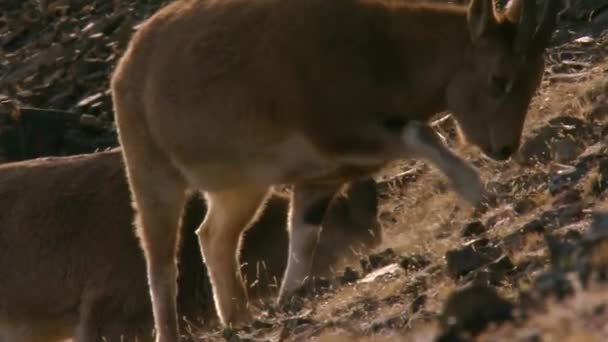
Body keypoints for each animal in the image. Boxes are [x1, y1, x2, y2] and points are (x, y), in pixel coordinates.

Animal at [111, 0, 560, 336]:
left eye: (533, 77)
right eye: (499, 78)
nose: (504, 148)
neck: (388, 51)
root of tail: (129, 63)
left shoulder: (322, 177)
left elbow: (303, 238)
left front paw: (287, 300)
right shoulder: (343, 131)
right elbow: (423, 133)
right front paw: (480, 192)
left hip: (242, 185)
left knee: (214, 235)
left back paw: (238, 316)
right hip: (152, 174)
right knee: (160, 261)